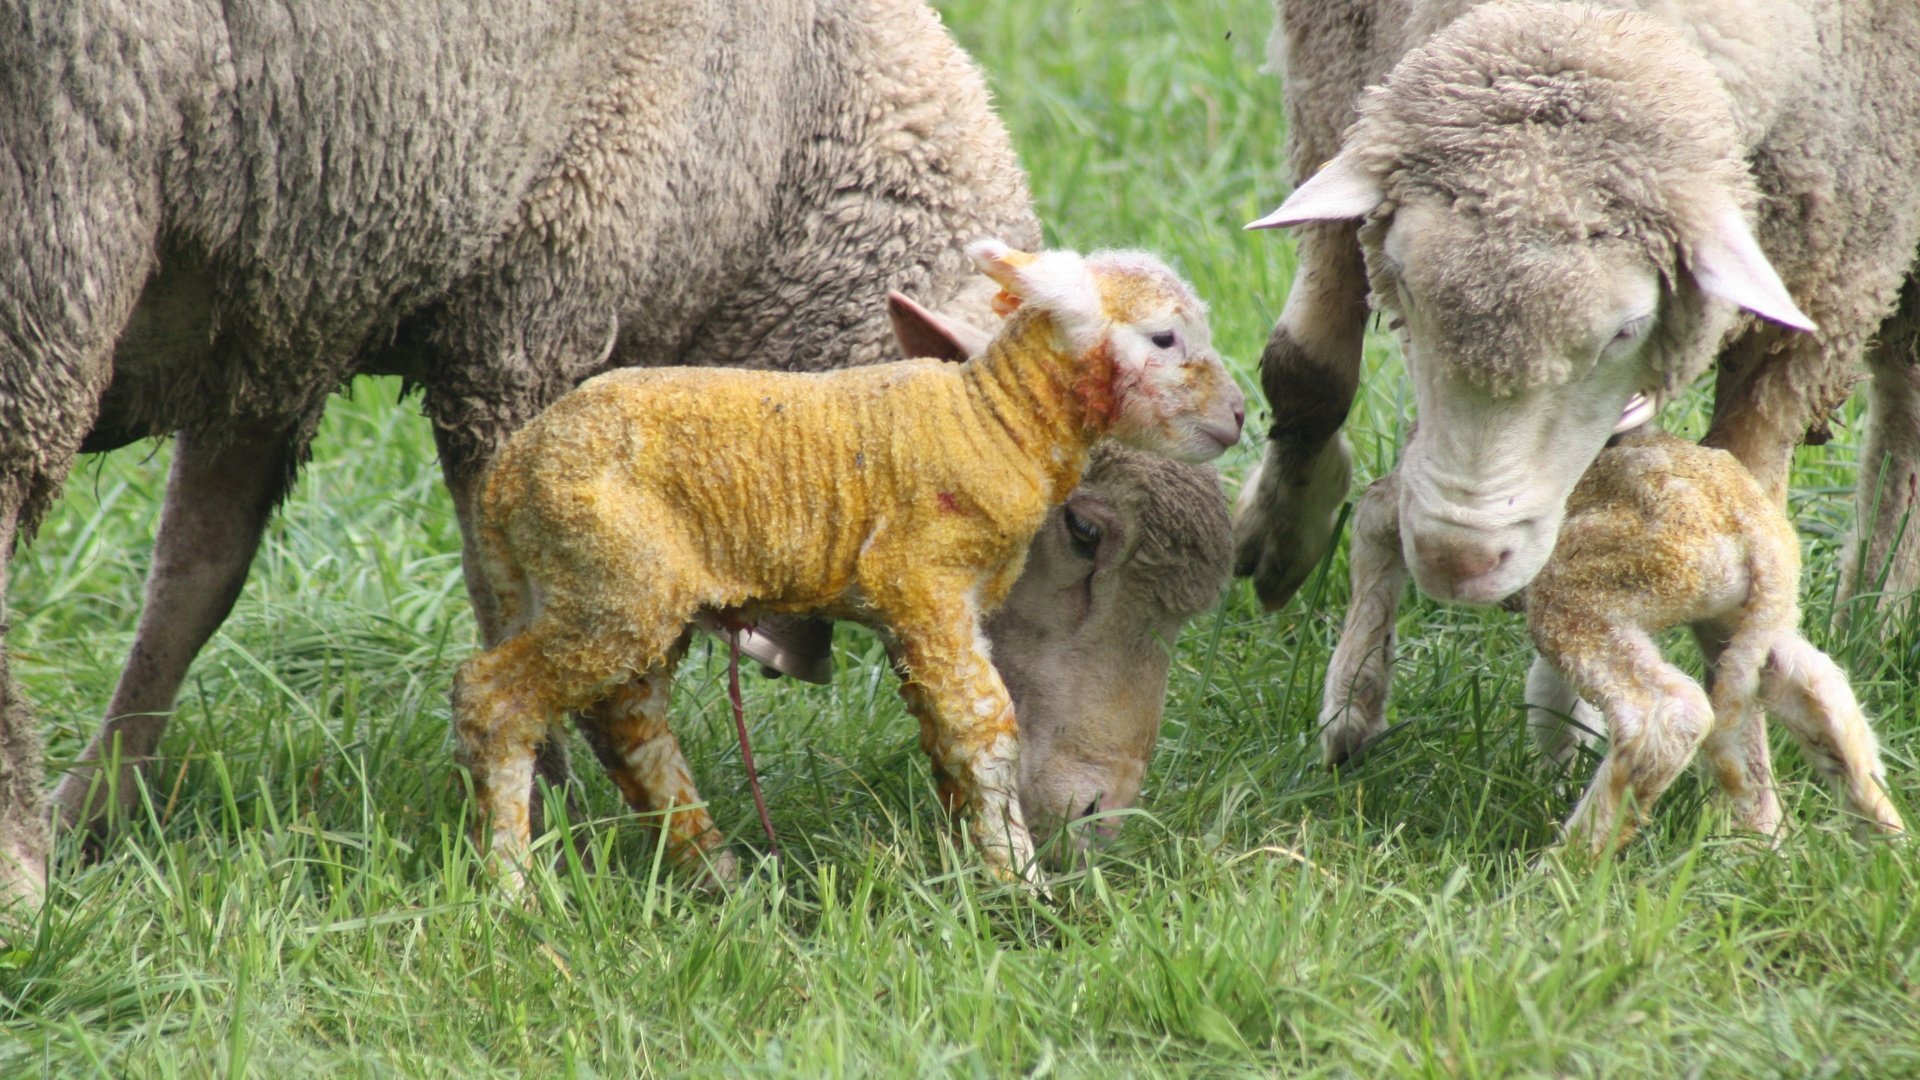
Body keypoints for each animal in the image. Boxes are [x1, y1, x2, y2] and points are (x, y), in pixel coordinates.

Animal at [456, 242, 1251, 883]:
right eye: (1165, 337)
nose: (1241, 416)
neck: (993, 419)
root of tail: (509, 476)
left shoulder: (923, 612)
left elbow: (944, 735)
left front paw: (973, 863)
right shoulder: (925, 580)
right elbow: (987, 729)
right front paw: (1022, 885)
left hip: (616, 586)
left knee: (631, 723)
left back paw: (717, 874)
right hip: (613, 584)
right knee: (495, 699)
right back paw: (511, 885)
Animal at [1228, 0, 1920, 622]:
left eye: (1626, 331)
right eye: (1402, 282)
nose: (1457, 559)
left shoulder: (1831, 276)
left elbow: (1742, 468)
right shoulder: (1333, 88)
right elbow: (1306, 371)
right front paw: (1280, 541)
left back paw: (1872, 614)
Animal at [1528, 428, 1904, 849]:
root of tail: (1755, 529)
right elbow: (1552, 701)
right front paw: (1552, 777)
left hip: (1607, 581)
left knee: (1664, 715)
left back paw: (1562, 862)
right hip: (1743, 611)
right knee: (1812, 681)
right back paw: (1889, 843)